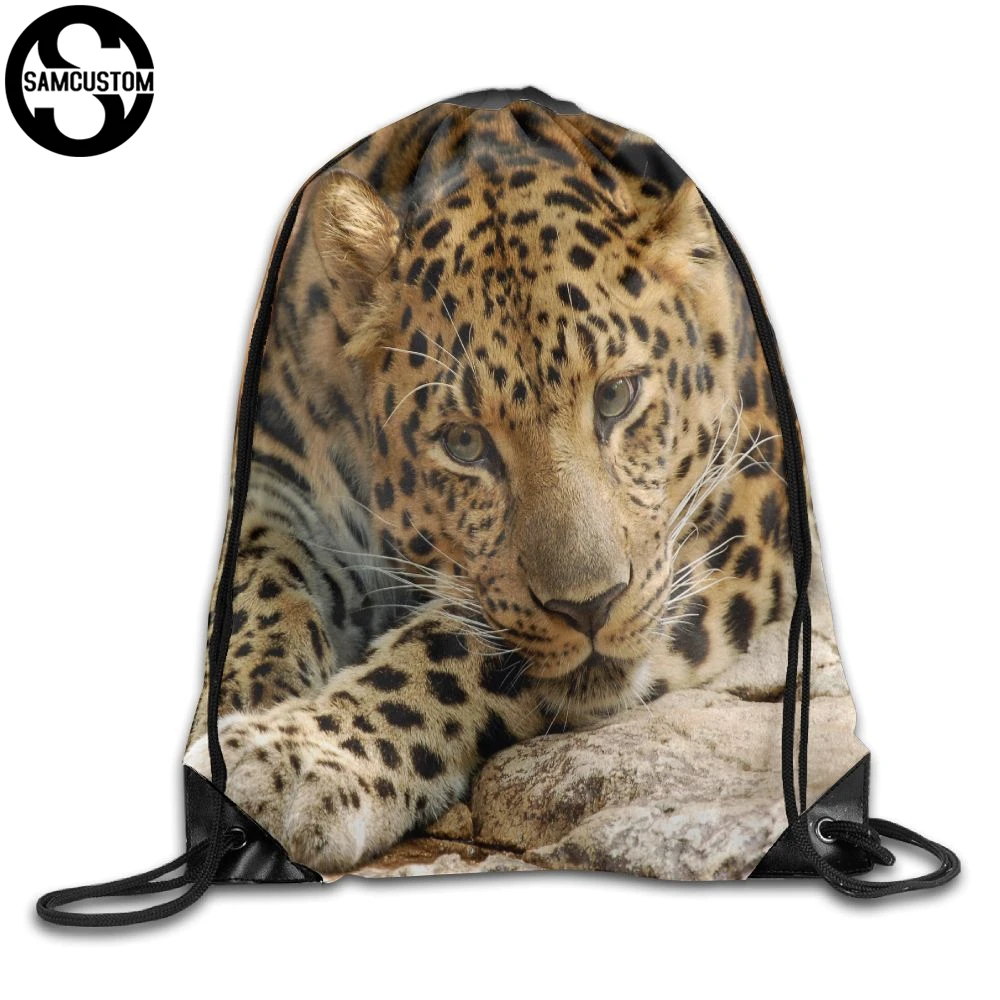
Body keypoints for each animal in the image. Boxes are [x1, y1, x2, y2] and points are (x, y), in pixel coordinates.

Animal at [185, 97, 791, 874]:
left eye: (617, 397)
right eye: (464, 443)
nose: (592, 607)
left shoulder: (724, 505)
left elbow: (449, 651)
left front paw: (292, 759)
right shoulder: (277, 476)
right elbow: (255, 576)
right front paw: (243, 694)